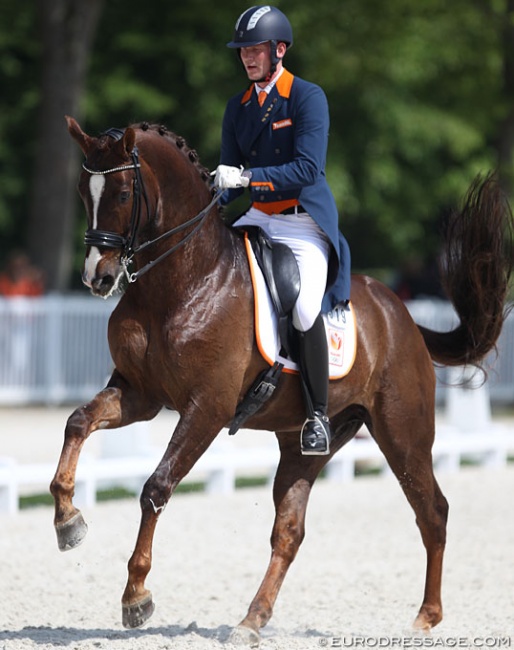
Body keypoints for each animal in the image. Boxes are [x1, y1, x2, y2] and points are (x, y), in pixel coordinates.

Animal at [51, 115, 508, 644]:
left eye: (124, 193)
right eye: (83, 192)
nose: (98, 278)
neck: (183, 281)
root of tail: (402, 315)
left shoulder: (206, 408)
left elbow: (156, 487)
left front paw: (136, 596)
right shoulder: (140, 395)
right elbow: (78, 422)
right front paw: (68, 521)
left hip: (403, 433)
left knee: (432, 511)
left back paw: (425, 617)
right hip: (303, 444)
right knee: (290, 531)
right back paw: (252, 620)